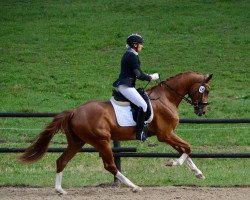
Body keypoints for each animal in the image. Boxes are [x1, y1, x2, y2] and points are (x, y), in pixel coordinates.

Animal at [18, 71, 213, 194]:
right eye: (206, 90)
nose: (202, 111)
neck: (166, 97)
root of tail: (74, 111)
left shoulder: (168, 134)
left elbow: (184, 150)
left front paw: (198, 173)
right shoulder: (165, 134)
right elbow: (187, 148)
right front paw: (172, 163)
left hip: (77, 142)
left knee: (62, 161)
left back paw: (59, 190)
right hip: (101, 141)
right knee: (110, 165)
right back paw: (134, 186)